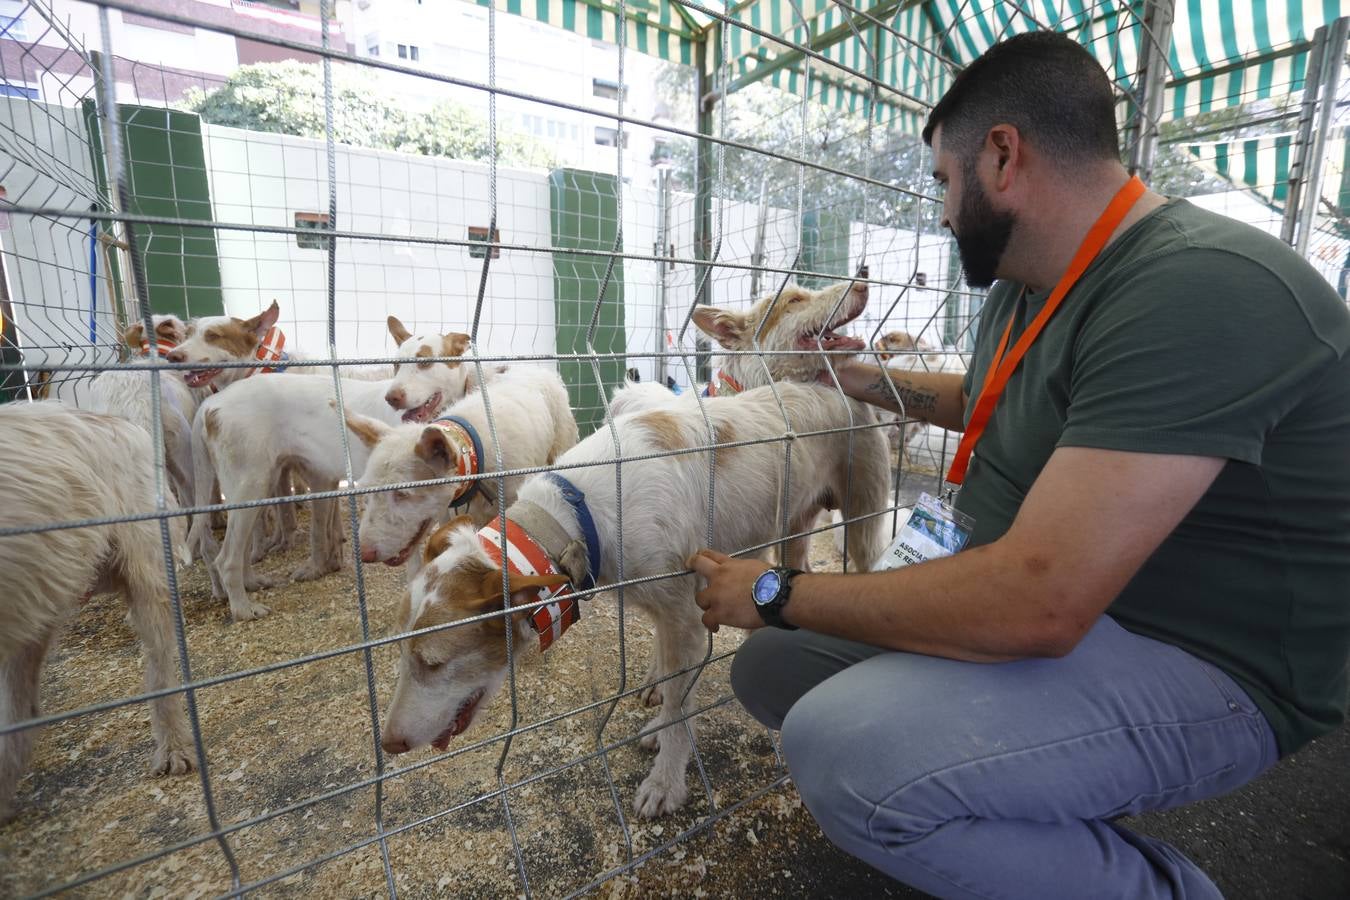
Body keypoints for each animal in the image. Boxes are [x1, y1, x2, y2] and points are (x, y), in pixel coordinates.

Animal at [375, 377, 891, 814]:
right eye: (403, 653)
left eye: (434, 662)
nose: (389, 743)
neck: (575, 515)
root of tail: (833, 388)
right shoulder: (662, 605)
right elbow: (670, 682)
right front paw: (657, 710)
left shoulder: (686, 614)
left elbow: (681, 709)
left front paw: (665, 782)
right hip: (786, 528)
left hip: (863, 520)